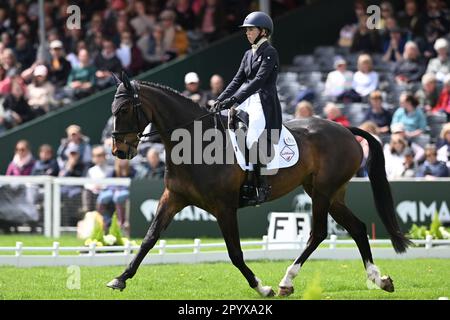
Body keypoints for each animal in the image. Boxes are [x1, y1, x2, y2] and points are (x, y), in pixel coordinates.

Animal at [106, 74, 412, 296]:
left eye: (125, 109)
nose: (119, 152)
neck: (195, 144)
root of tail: (345, 130)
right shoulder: (173, 197)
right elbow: (149, 239)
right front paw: (120, 278)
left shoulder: (224, 207)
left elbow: (235, 253)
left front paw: (261, 287)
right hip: (329, 192)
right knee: (357, 228)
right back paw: (379, 279)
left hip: (323, 192)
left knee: (318, 233)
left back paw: (286, 281)